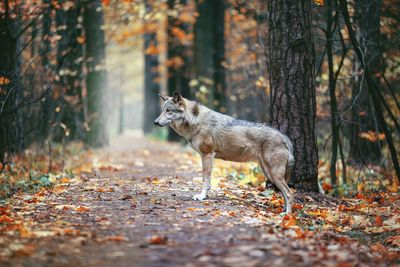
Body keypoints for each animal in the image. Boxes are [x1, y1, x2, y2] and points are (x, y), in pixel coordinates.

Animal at [153, 91, 294, 214]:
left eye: (168, 110)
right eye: (162, 110)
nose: (155, 122)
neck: (195, 120)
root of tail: (285, 138)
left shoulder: (207, 155)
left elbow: (205, 180)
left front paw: (202, 196)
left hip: (273, 174)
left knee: (289, 193)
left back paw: (287, 215)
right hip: (268, 172)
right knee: (285, 193)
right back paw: (284, 212)